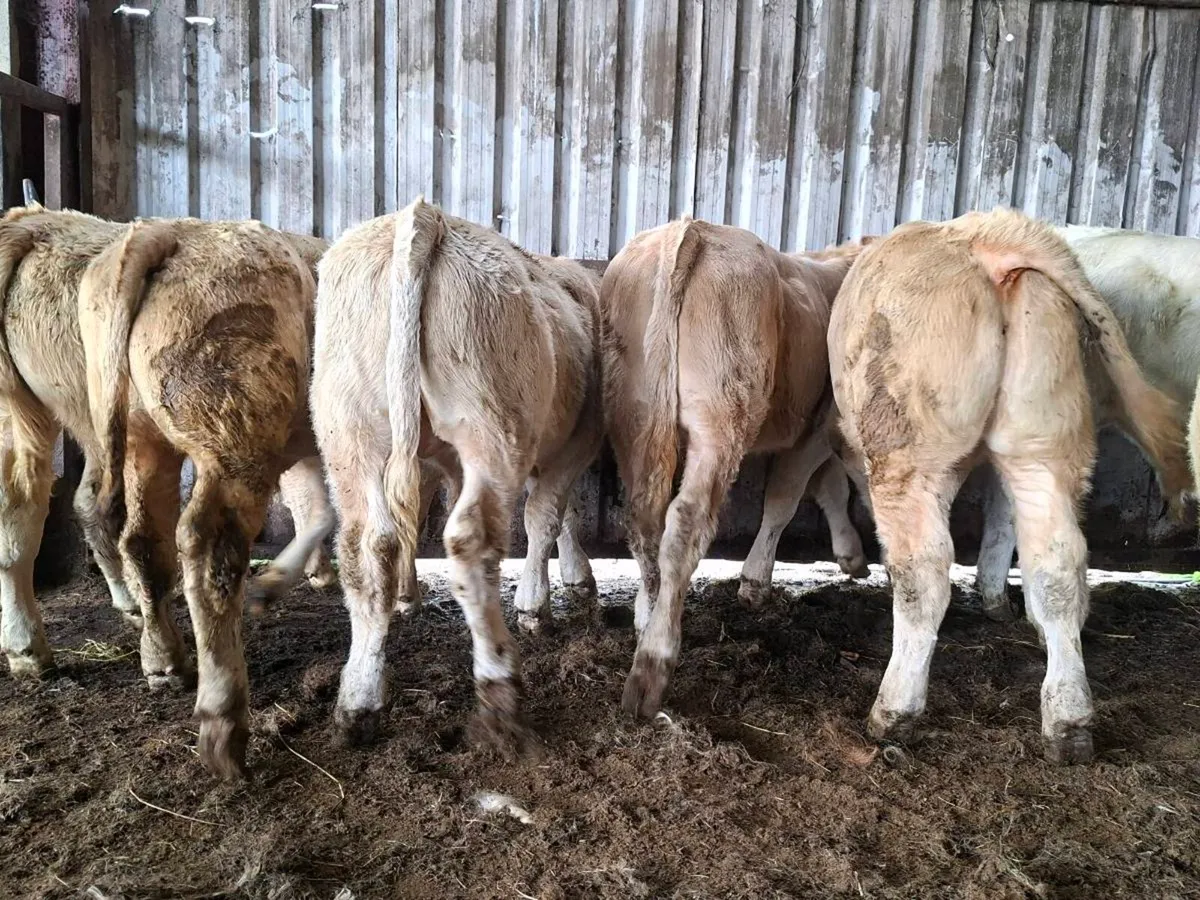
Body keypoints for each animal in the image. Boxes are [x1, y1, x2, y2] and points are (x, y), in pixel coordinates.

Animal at [0, 205, 320, 777]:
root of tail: (165, 232)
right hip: (231, 439)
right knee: (205, 549)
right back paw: (222, 719)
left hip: (81, 422)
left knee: (74, 521)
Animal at [311, 196, 602, 748]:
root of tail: (425, 215)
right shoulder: (573, 443)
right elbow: (547, 516)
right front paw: (539, 603)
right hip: (492, 431)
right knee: (471, 540)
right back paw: (498, 687)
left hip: (348, 429)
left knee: (367, 545)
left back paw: (359, 697)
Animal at [601, 216, 865, 720]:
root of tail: (691, 230)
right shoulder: (819, 427)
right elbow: (787, 499)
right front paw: (756, 583)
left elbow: (831, 488)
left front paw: (851, 553)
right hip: (721, 421)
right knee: (684, 524)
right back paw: (653, 665)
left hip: (632, 414)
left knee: (643, 520)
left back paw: (647, 615)